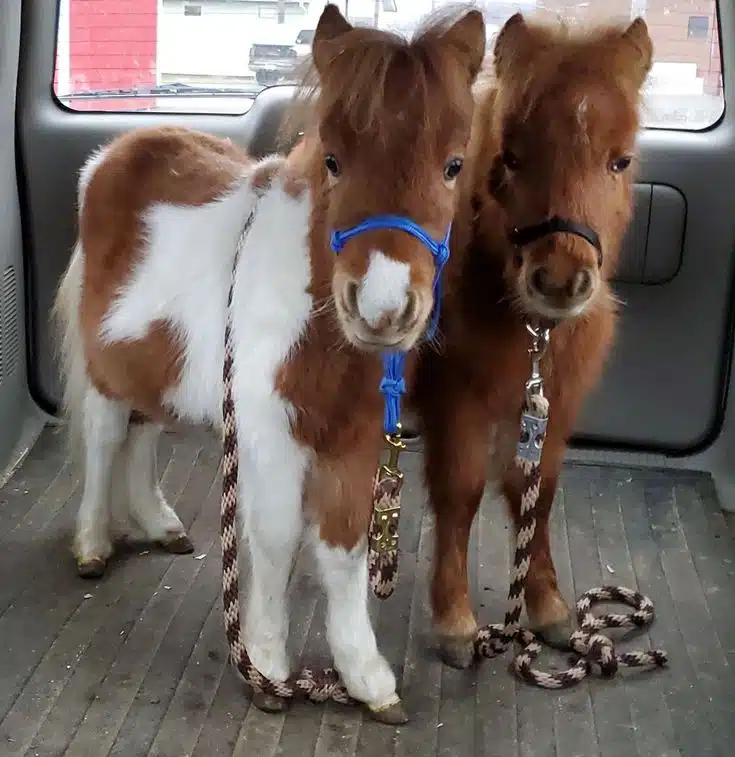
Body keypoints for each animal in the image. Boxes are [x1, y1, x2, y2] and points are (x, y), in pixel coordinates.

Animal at [53, 4, 488, 716]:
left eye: (454, 165)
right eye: (333, 159)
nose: (383, 306)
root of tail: (116, 151)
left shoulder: (355, 440)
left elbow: (344, 548)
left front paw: (365, 678)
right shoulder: (269, 435)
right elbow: (277, 538)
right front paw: (267, 667)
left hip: (157, 361)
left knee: (145, 431)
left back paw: (158, 523)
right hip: (106, 367)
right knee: (105, 436)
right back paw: (92, 543)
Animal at [408, 11, 656, 668]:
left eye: (620, 161)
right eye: (512, 158)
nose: (560, 280)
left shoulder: (554, 404)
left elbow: (537, 494)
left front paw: (546, 608)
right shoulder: (457, 400)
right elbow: (461, 492)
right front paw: (455, 620)